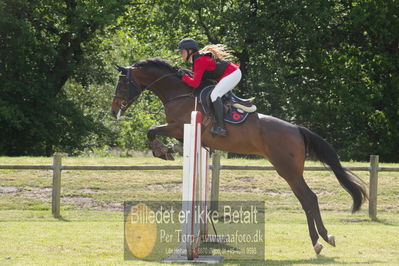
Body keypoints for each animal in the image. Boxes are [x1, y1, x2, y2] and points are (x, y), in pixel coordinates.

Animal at [111, 57, 368, 254]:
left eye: (122, 84)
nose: (114, 111)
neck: (179, 93)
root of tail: (296, 129)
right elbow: (162, 135)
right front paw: (170, 150)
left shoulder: (177, 126)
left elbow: (151, 130)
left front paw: (162, 151)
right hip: (291, 170)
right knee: (308, 199)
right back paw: (322, 238)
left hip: (287, 170)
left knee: (308, 198)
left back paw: (319, 240)